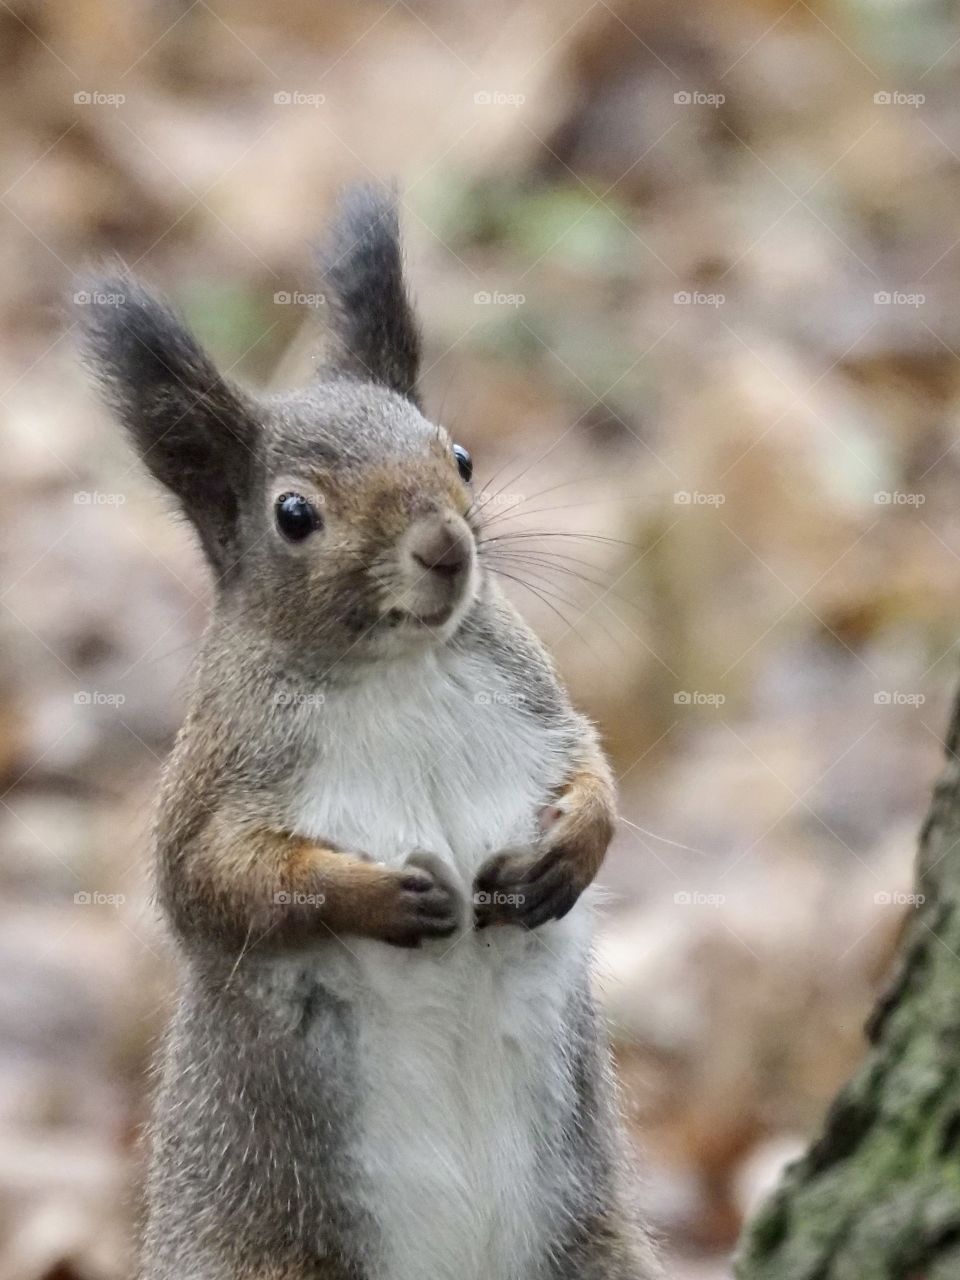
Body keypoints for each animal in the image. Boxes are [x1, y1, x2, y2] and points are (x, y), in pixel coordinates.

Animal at [79, 186, 661, 1280]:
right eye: (293, 513)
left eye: (459, 454)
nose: (445, 546)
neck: (401, 672)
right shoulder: (222, 775)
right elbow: (210, 883)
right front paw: (379, 894)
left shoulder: (537, 703)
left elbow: (595, 769)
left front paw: (566, 851)